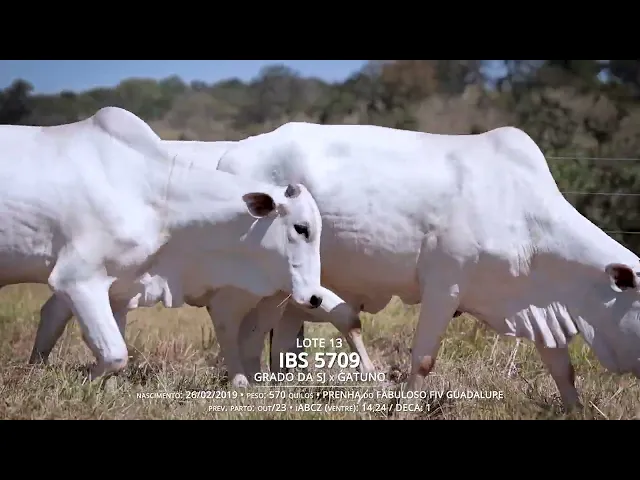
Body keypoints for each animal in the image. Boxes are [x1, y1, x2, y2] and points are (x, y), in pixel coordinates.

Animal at [2, 107, 359, 386]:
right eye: (301, 228)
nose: (314, 297)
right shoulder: (76, 279)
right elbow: (115, 354)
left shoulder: (119, 288)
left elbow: (112, 350)